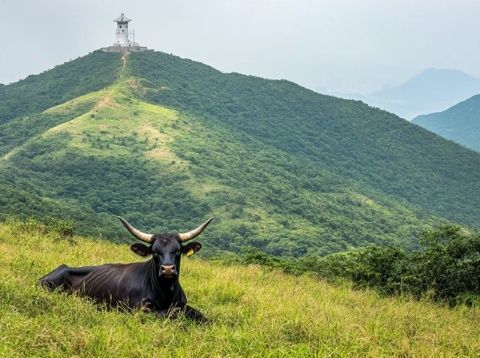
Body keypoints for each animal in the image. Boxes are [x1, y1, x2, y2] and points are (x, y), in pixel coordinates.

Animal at [39, 217, 214, 324]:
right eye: (154, 251)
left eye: (177, 250)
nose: (168, 269)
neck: (166, 292)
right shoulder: (139, 310)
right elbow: (172, 313)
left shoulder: (184, 305)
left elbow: (202, 316)